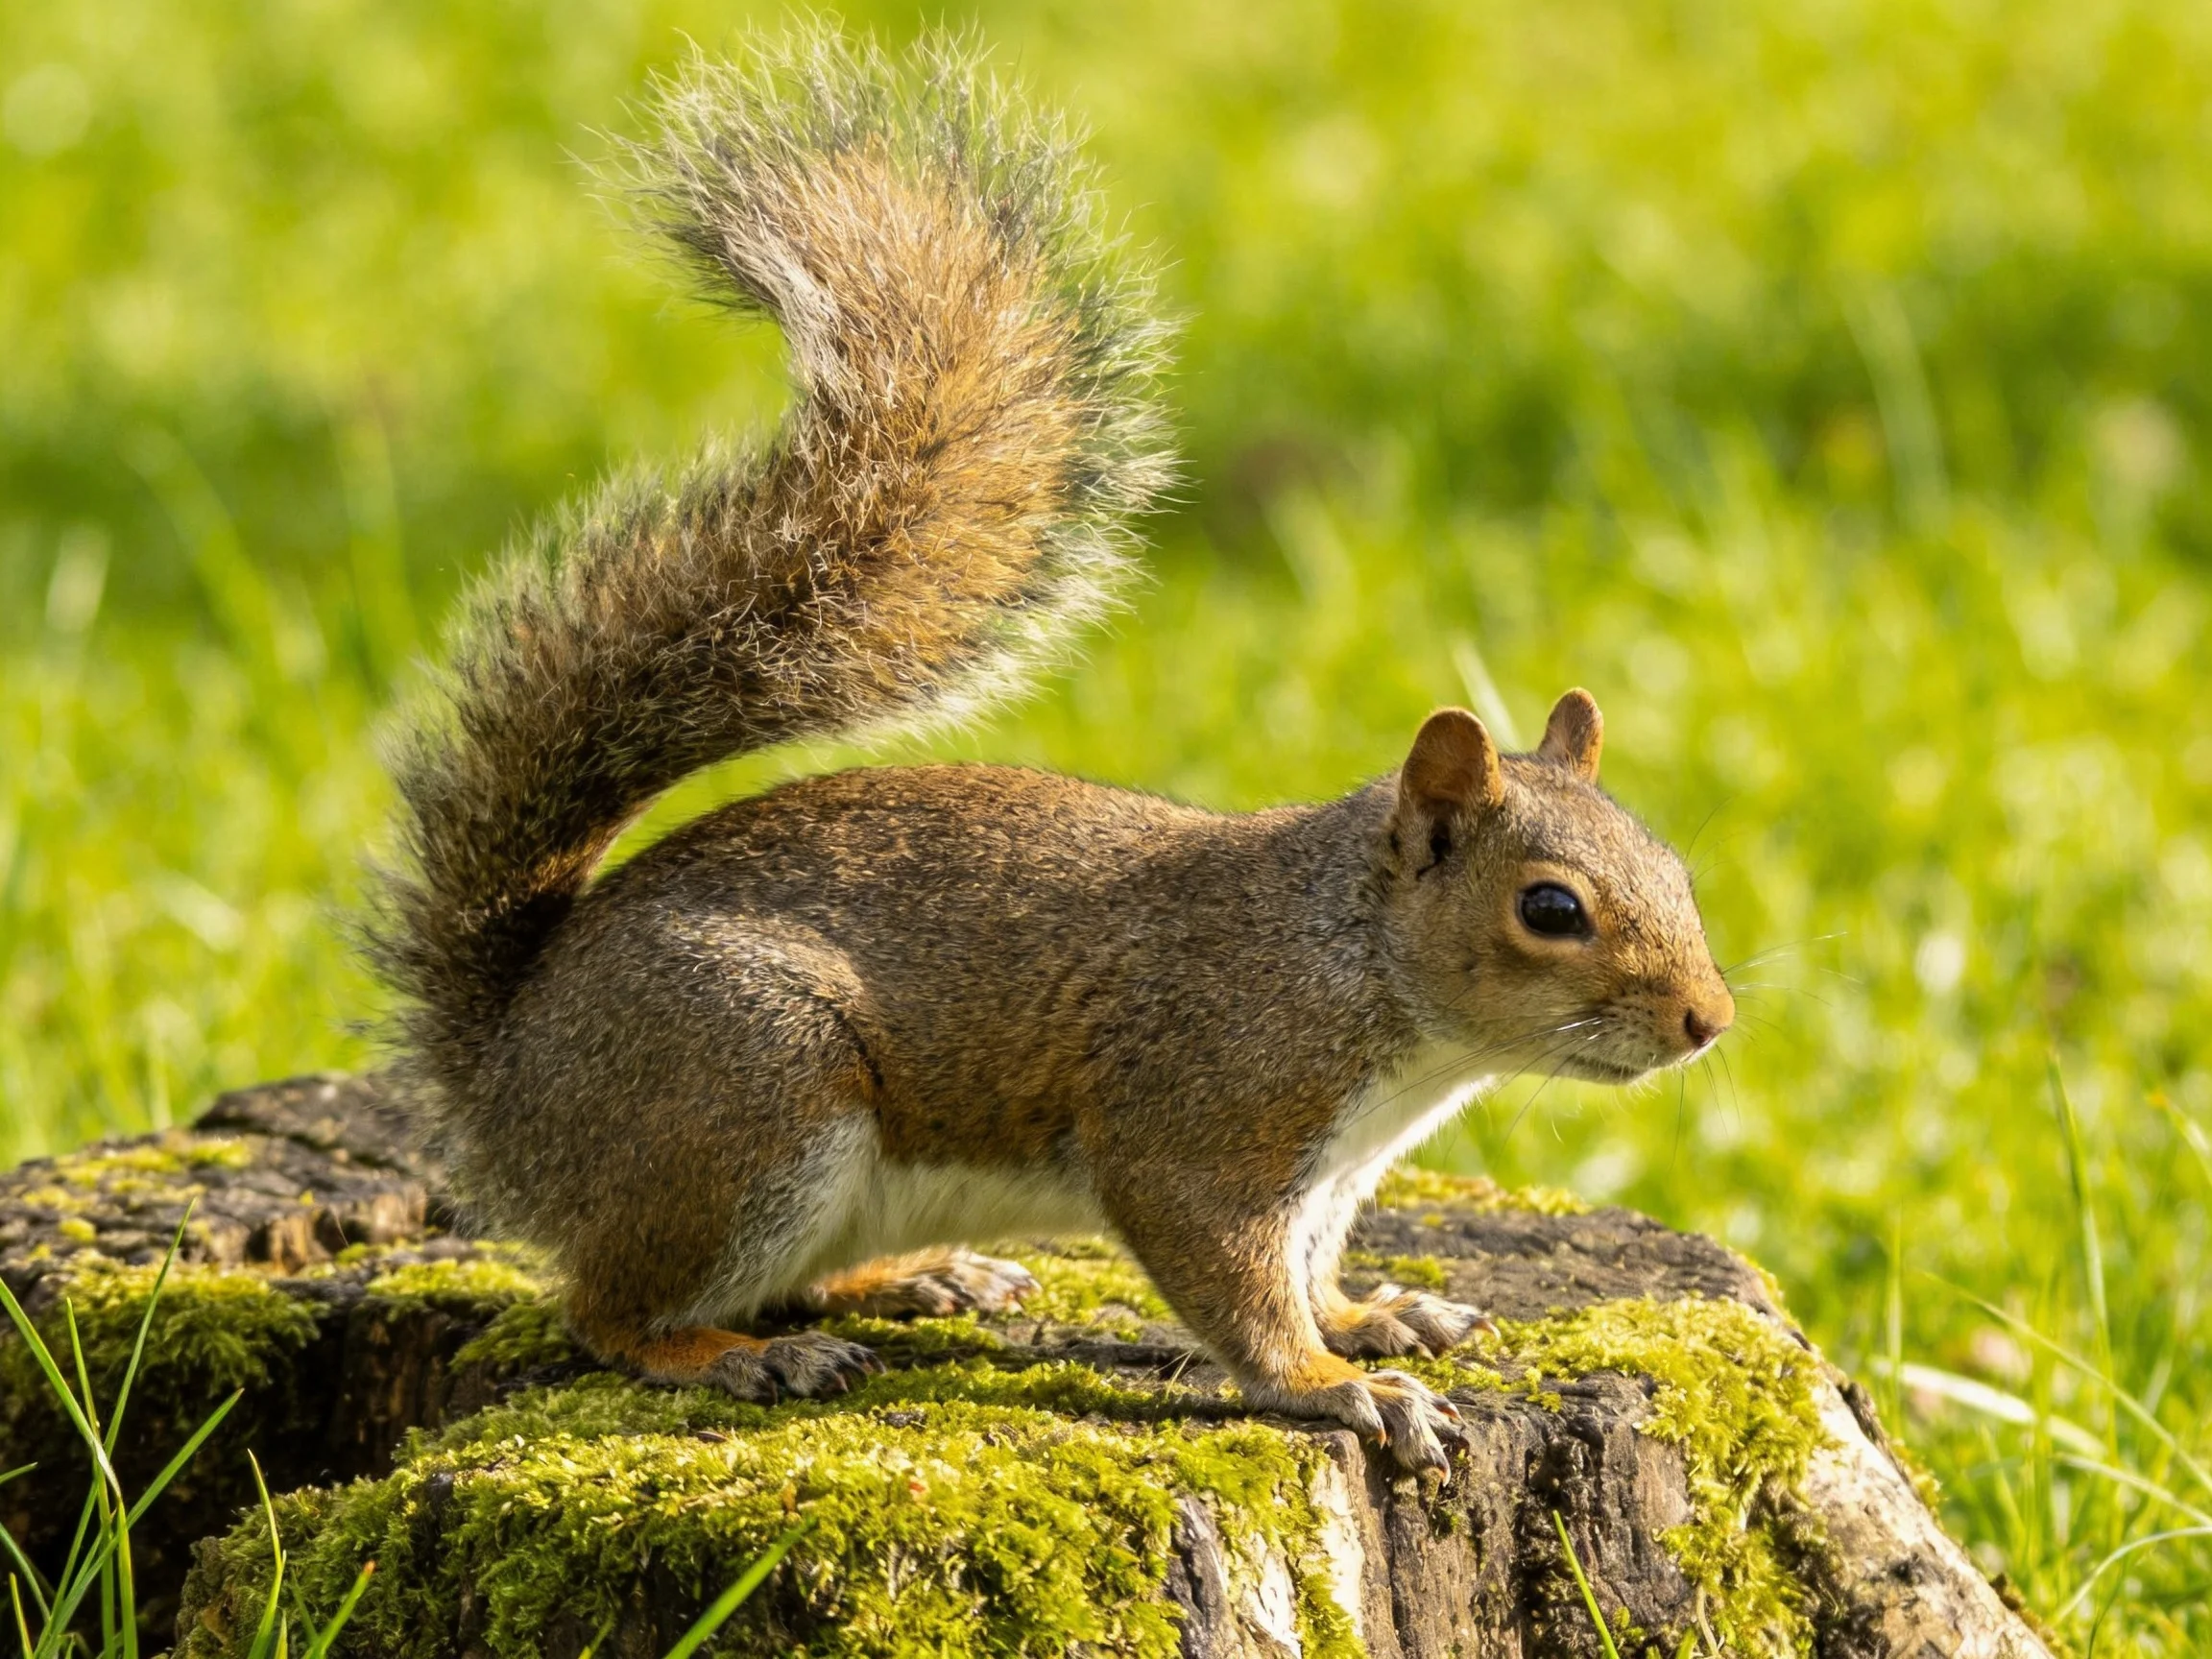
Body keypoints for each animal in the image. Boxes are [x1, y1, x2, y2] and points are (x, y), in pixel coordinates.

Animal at [369, 29, 1734, 1476]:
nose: (1709, 1021)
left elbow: (1308, 1269)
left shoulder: (1330, 1178)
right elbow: (1234, 1282)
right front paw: (1333, 1383)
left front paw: (1372, 1318)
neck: (1358, 970)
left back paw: (920, 1277)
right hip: (743, 1095)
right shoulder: (1198, 1117)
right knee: (610, 1308)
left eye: (1678, 871)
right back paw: (740, 1353)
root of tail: (503, 1067)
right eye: (1551, 910)